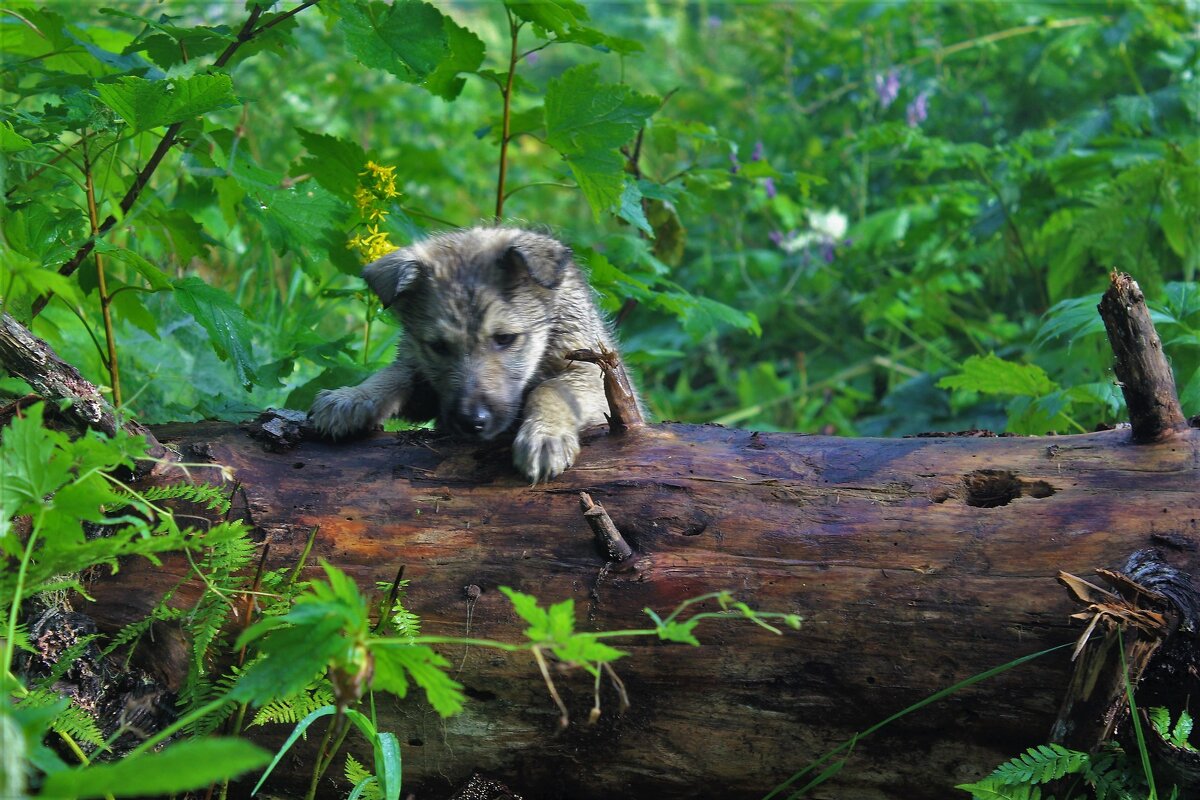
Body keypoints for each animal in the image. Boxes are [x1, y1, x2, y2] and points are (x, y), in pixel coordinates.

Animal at [309, 227, 619, 484]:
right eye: (439, 346)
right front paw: (351, 397)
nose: (472, 422)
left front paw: (544, 436)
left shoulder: (592, 374)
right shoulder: (426, 386)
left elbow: (551, 388)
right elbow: (396, 374)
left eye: (505, 338)